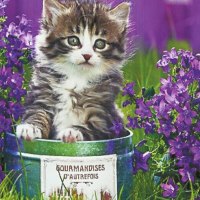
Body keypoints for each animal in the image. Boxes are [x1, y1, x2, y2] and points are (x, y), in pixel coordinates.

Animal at [16, 0, 131, 142]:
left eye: (100, 44)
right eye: (73, 40)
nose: (87, 55)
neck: (77, 78)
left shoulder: (105, 119)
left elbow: (91, 128)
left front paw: (72, 131)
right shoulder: (41, 98)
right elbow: (37, 113)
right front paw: (30, 127)